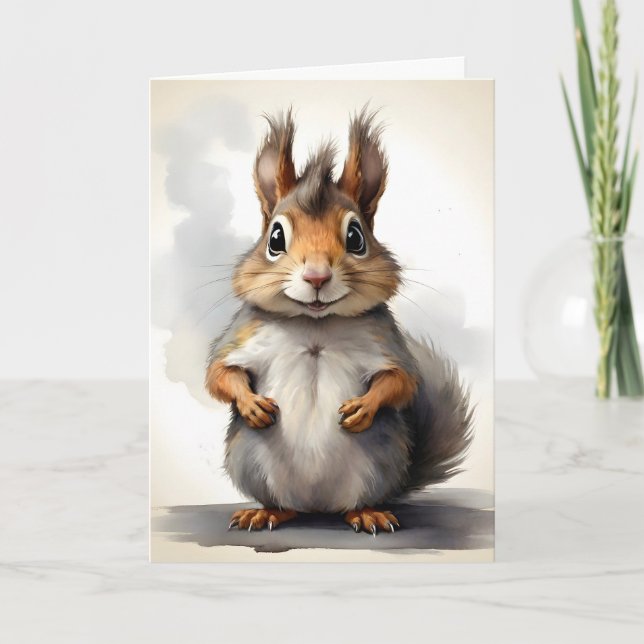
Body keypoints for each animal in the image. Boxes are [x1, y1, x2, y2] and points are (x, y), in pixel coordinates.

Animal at [205, 107, 473, 535]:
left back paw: (366, 513)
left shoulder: (385, 341)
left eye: (356, 237)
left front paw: (363, 408)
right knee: (284, 505)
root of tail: (318, 507)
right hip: (251, 463)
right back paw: (266, 512)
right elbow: (219, 374)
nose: (316, 276)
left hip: (377, 464)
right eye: (275, 238)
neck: (315, 325)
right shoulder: (243, 335)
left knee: (356, 503)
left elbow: (402, 381)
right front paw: (252, 405)